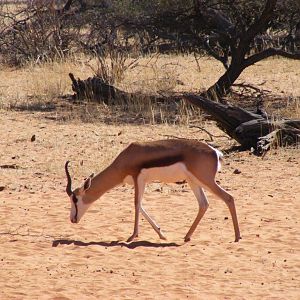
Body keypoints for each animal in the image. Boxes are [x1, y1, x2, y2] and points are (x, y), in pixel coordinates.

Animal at [64, 139, 240, 243]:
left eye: (75, 199)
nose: (72, 219)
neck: (127, 157)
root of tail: (215, 152)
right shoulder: (141, 182)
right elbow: (141, 206)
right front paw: (161, 234)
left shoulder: (138, 179)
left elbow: (136, 204)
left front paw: (132, 236)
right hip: (193, 181)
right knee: (203, 204)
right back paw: (187, 236)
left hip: (205, 180)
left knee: (229, 198)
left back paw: (237, 237)